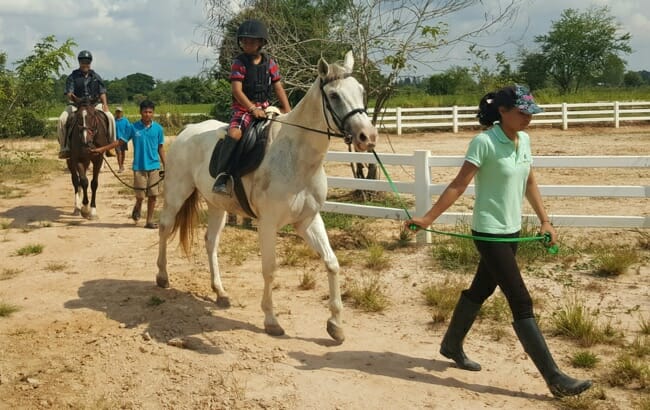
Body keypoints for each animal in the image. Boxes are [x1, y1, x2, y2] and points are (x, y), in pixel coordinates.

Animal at [157, 52, 378, 342]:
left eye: (361, 91)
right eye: (334, 95)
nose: (368, 137)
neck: (297, 158)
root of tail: (187, 131)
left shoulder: (308, 220)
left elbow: (332, 263)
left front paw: (335, 325)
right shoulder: (268, 223)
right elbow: (270, 269)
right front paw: (271, 321)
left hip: (217, 206)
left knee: (211, 242)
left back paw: (220, 292)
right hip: (176, 193)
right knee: (164, 227)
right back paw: (162, 277)